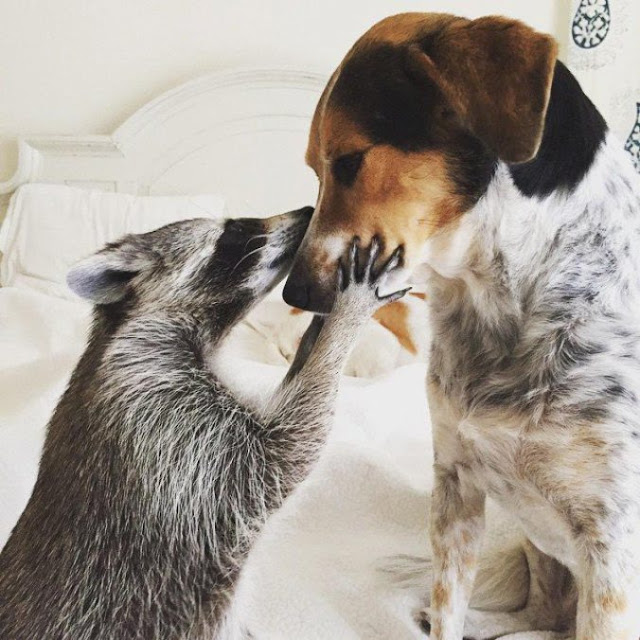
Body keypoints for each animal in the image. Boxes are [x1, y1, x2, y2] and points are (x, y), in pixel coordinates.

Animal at [0, 206, 408, 640]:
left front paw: (317, 329)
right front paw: (345, 319)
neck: (126, 324)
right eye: (235, 230)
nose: (306, 211)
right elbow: (290, 448)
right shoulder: (165, 422)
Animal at [282, 11, 640, 640]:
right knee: (539, 614)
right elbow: (450, 605)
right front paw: (440, 615)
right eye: (314, 169)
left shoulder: (611, 547)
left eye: (348, 162)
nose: (292, 294)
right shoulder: (456, 483)